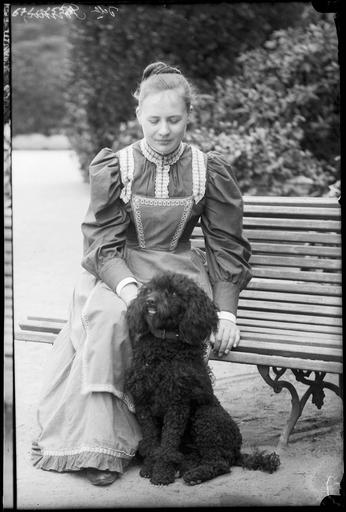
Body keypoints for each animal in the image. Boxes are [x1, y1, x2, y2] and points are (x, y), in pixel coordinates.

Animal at [125, 270, 280, 486]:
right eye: (150, 289)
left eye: (174, 293)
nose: (150, 301)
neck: (163, 346)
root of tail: (236, 451)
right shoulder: (144, 403)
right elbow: (152, 439)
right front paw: (149, 467)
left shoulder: (177, 404)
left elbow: (168, 443)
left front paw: (162, 473)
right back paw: (186, 469)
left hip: (205, 417)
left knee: (219, 463)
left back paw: (194, 475)